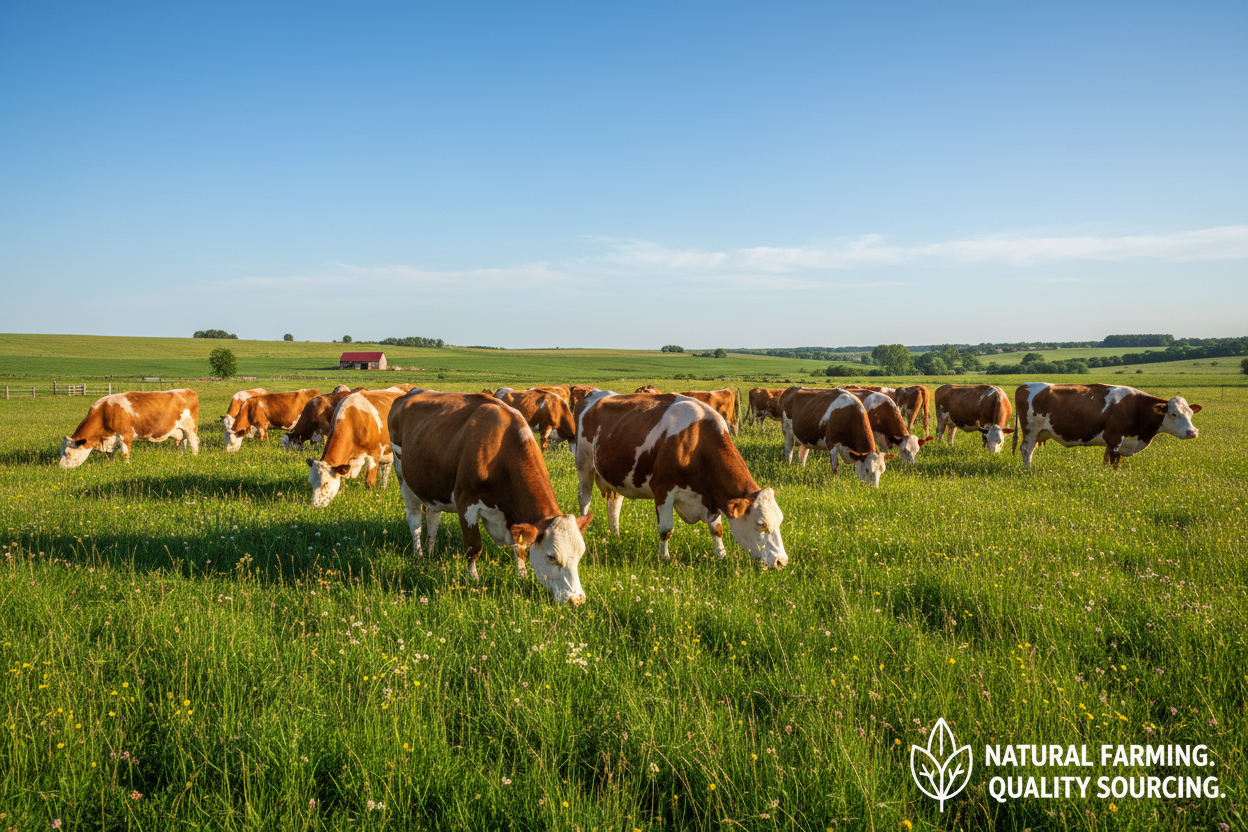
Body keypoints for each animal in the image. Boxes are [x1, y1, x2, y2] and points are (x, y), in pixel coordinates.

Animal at [60, 390, 199, 468]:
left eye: (68, 453)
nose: (60, 468)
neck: (105, 411)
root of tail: (188, 390)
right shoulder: (112, 438)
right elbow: (111, 454)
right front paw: (111, 464)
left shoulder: (125, 434)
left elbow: (125, 453)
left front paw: (127, 466)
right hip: (180, 430)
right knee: (182, 443)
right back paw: (181, 457)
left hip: (190, 428)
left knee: (194, 443)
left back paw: (194, 457)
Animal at [389, 390, 593, 605]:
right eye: (551, 556)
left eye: (580, 554)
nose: (577, 599)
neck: (499, 449)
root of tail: (411, 392)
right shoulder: (466, 504)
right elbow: (473, 547)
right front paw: (473, 580)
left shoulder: (513, 516)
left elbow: (520, 547)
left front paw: (522, 575)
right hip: (402, 475)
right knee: (414, 520)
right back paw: (418, 553)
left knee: (433, 517)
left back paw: (429, 550)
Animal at [574, 391, 788, 567]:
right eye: (761, 523)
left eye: (780, 521)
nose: (782, 561)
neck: (696, 440)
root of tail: (594, 394)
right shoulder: (663, 489)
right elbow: (666, 529)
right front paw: (664, 558)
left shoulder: (711, 496)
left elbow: (716, 529)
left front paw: (722, 556)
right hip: (584, 464)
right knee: (584, 499)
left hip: (616, 475)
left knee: (614, 502)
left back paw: (616, 534)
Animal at [1013, 383, 1201, 470]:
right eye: (1174, 414)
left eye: (1190, 414)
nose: (1192, 432)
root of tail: (1025, 385)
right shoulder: (1114, 438)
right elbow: (1112, 462)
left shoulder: (1121, 442)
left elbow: (1112, 462)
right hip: (1031, 431)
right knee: (1026, 450)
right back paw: (1028, 470)